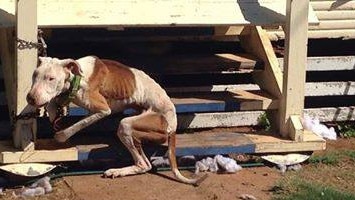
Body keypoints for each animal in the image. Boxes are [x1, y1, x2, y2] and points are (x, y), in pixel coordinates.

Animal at [27, 55, 206, 185]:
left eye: (50, 78)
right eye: (34, 75)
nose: (30, 98)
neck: (77, 78)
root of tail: (173, 125)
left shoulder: (103, 109)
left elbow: (77, 125)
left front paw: (61, 135)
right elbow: (55, 105)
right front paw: (53, 111)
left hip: (127, 125)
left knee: (143, 164)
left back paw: (117, 171)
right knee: (145, 164)